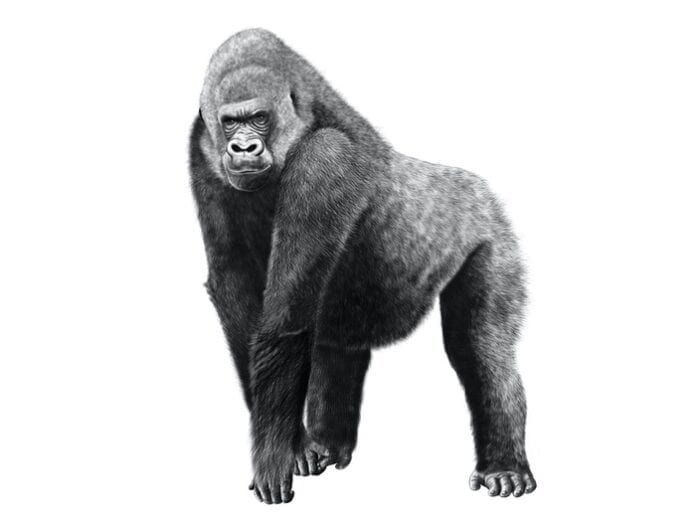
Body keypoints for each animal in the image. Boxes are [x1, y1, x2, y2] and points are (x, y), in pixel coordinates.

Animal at [189, 28, 536, 504]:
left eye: (258, 118)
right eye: (229, 123)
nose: (242, 147)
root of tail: (483, 191)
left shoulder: (326, 161)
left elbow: (284, 323)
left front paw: (275, 455)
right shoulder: (200, 148)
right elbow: (233, 288)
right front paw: (295, 446)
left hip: (491, 232)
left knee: (480, 350)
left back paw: (505, 466)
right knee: (338, 345)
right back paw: (330, 443)